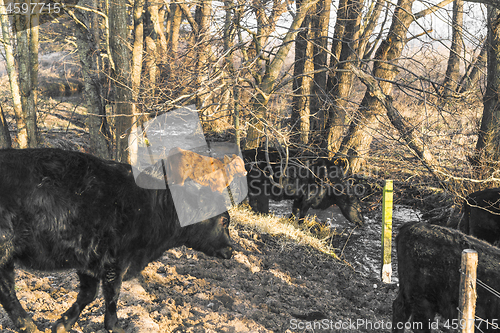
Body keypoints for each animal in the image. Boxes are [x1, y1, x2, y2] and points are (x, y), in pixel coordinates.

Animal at [0, 148, 232, 332]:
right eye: (224, 220)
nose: (231, 249)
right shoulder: (116, 260)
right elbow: (112, 295)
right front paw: (115, 327)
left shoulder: (90, 260)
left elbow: (88, 294)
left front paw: (62, 324)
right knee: (7, 291)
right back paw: (29, 326)